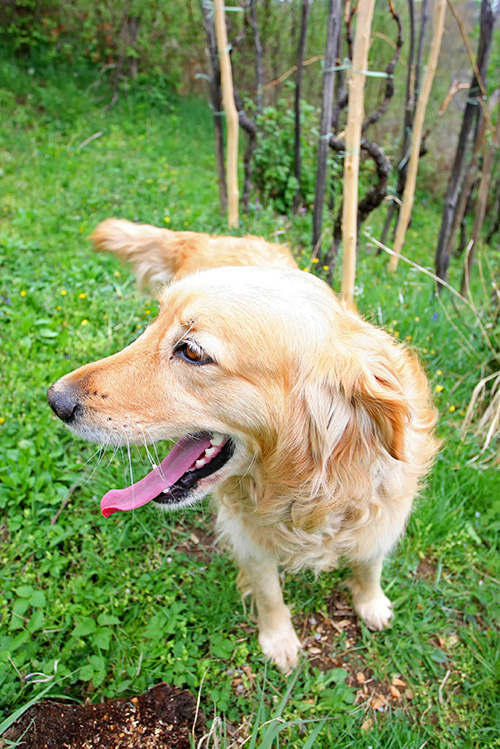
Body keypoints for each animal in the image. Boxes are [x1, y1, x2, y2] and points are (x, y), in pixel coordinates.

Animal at [47, 218, 438, 672]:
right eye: (153, 326)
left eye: (192, 351)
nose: (55, 400)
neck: (308, 489)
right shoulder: (249, 539)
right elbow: (269, 592)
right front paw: (279, 639)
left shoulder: (385, 512)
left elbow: (370, 562)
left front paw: (371, 603)